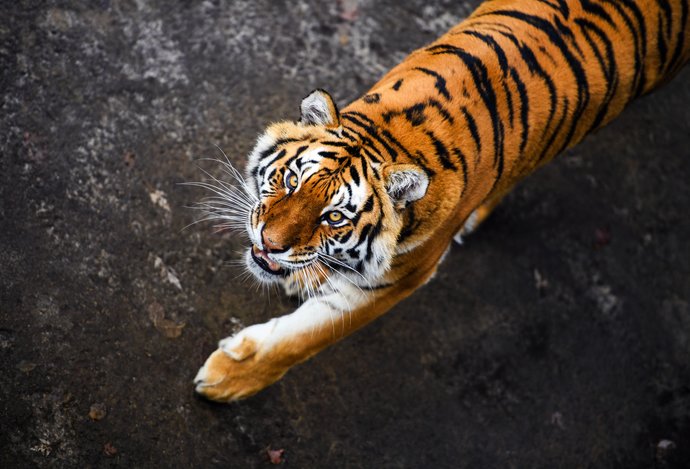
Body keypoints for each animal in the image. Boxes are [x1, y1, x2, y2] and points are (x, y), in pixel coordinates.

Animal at [191, 0, 688, 402]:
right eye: (292, 181)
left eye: (334, 217)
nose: (269, 243)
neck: (388, 136)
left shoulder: (392, 285)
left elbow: (301, 340)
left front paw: (226, 381)